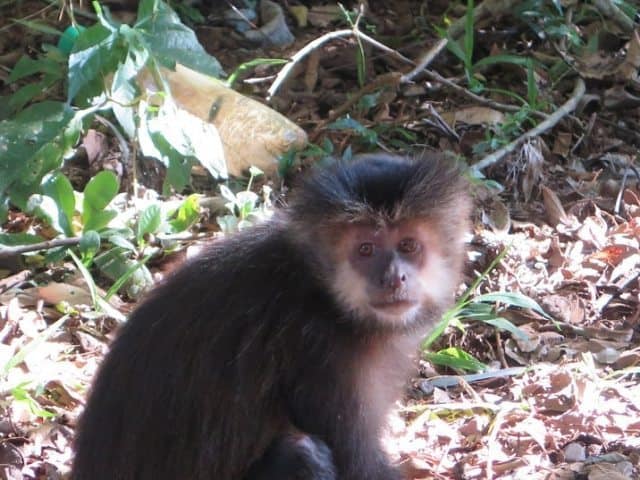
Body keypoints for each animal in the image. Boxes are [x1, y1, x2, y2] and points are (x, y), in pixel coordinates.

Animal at [71, 154, 470, 480]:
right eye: (366, 249)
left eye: (408, 246)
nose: (392, 277)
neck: (324, 296)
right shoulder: (319, 350)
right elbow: (358, 464)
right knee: (304, 454)